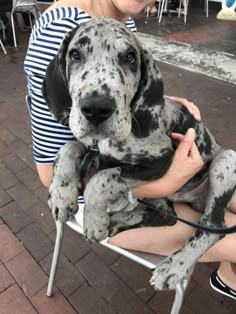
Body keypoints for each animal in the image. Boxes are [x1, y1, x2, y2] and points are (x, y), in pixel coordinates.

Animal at [42, 18, 236, 290]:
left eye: (130, 57)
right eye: (75, 54)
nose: (96, 109)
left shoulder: (161, 160)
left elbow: (101, 180)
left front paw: (94, 220)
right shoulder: (92, 147)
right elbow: (68, 148)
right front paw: (61, 194)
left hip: (226, 160)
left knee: (212, 226)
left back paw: (174, 266)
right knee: (167, 216)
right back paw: (115, 221)